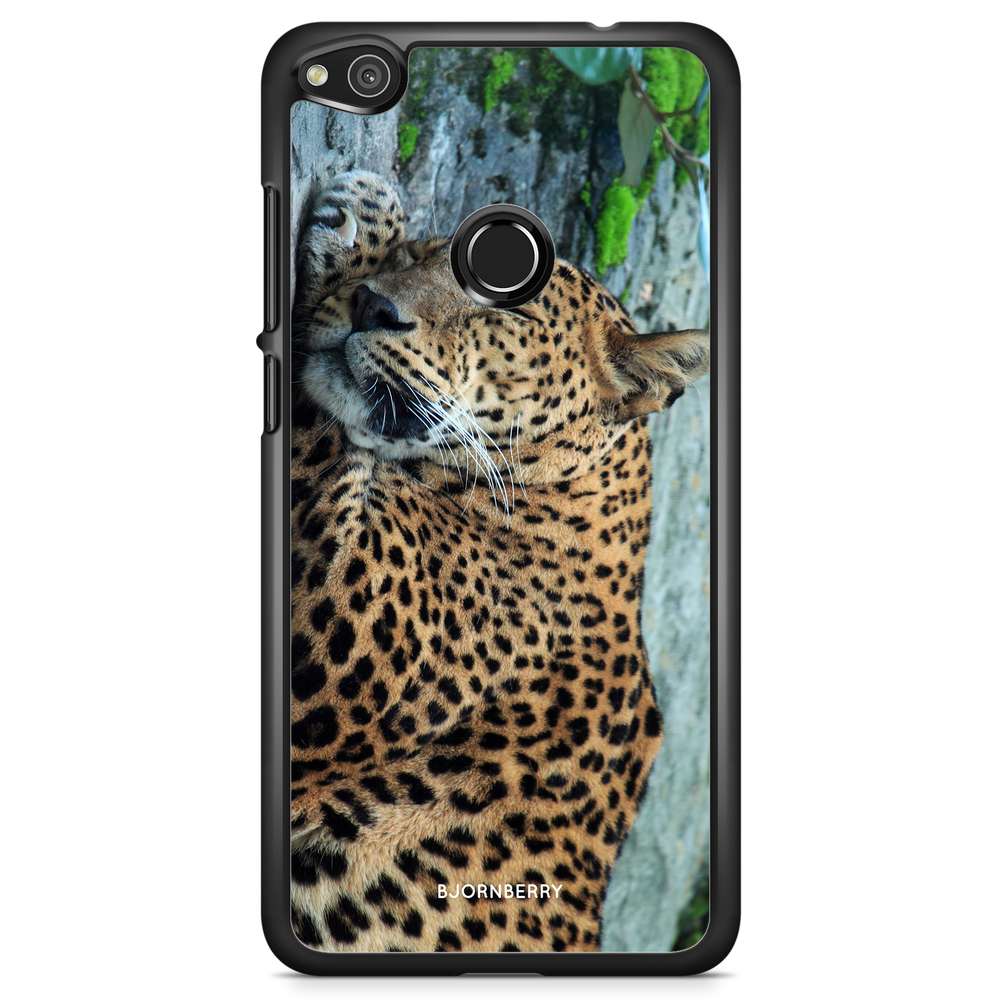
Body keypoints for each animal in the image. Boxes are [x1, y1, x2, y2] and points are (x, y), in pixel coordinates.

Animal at [288, 170, 709, 953]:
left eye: (503, 313)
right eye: (425, 254)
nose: (372, 305)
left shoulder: (342, 617)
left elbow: (320, 427)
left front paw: (360, 216)